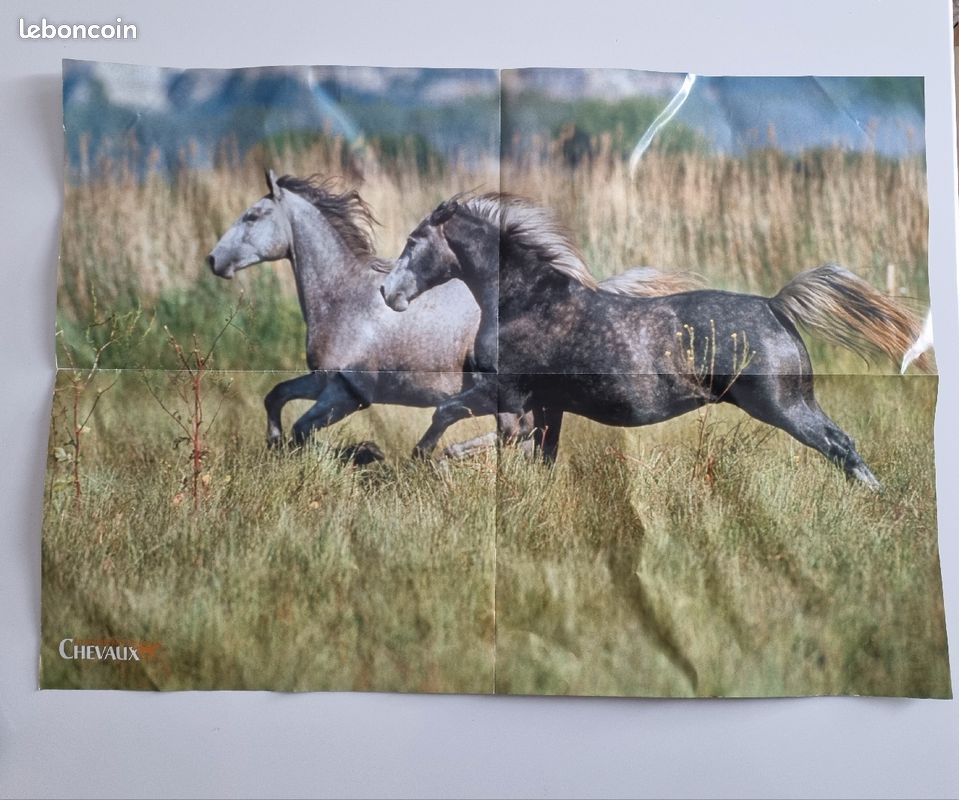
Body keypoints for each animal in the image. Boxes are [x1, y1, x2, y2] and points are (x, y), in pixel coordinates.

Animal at [380, 193, 930, 488]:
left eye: (413, 240)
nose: (388, 293)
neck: (525, 301)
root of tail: (774, 305)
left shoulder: (509, 394)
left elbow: (455, 416)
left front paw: (429, 457)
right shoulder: (547, 404)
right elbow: (537, 451)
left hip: (782, 405)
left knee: (837, 445)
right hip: (796, 401)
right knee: (843, 442)